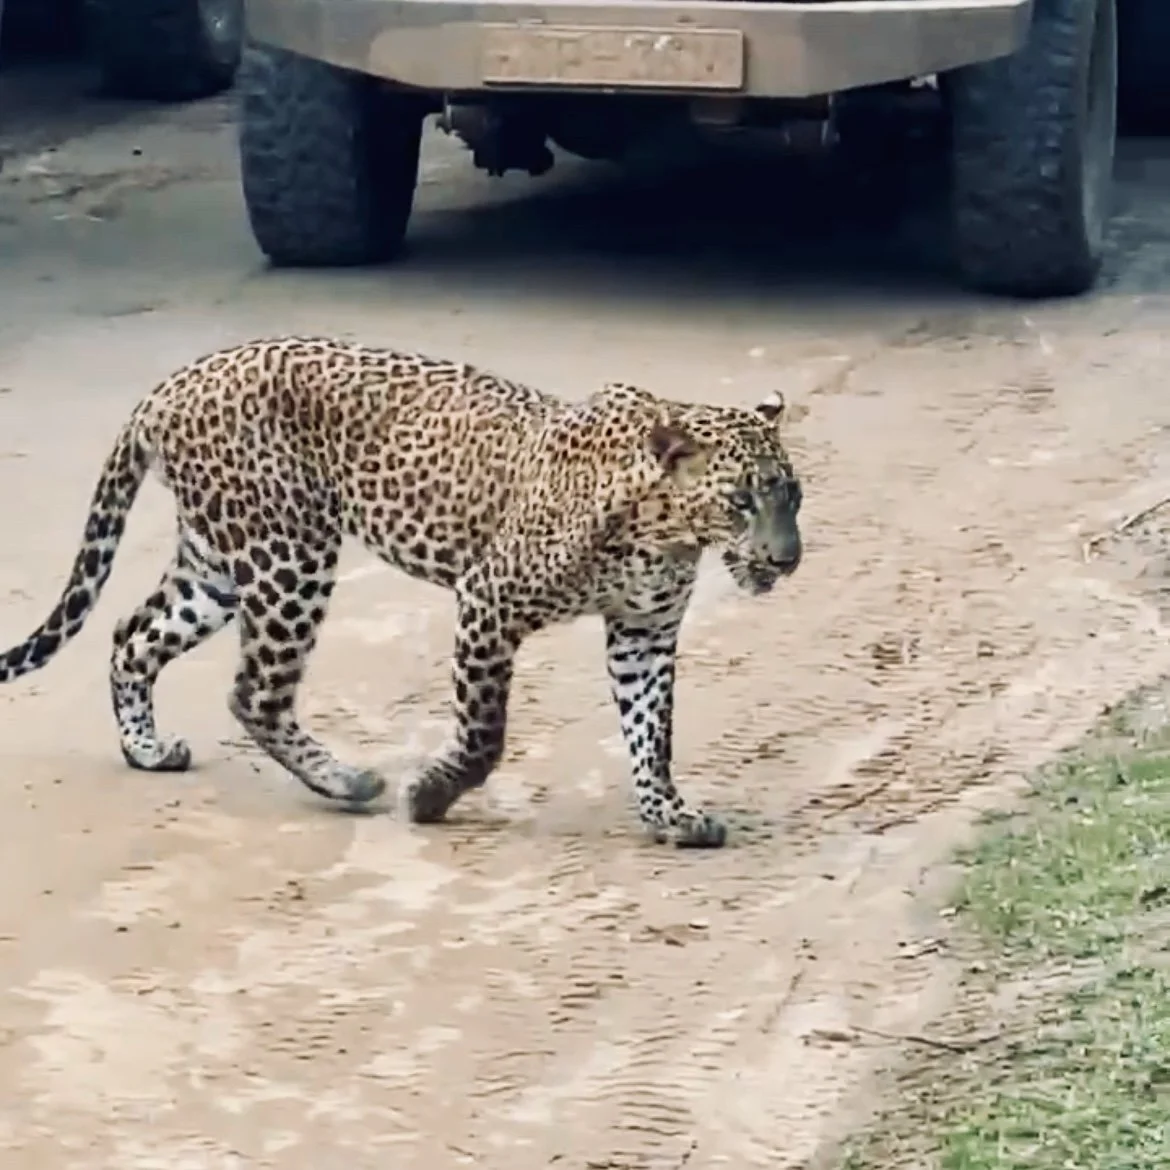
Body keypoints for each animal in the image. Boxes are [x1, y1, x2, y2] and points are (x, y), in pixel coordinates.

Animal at [0, 336, 803, 848]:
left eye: (791, 497)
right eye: (739, 501)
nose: (789, 560)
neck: (663, 531)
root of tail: (171, 384)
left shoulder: (644, 633)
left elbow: (651, 732)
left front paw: (670, 814)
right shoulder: (487, 602)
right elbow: (484, 734)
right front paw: (430, 796)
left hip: (219, 567)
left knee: (131, 636)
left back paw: (147, 749)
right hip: (288, 556)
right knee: (253, 693)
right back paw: (347, 781)